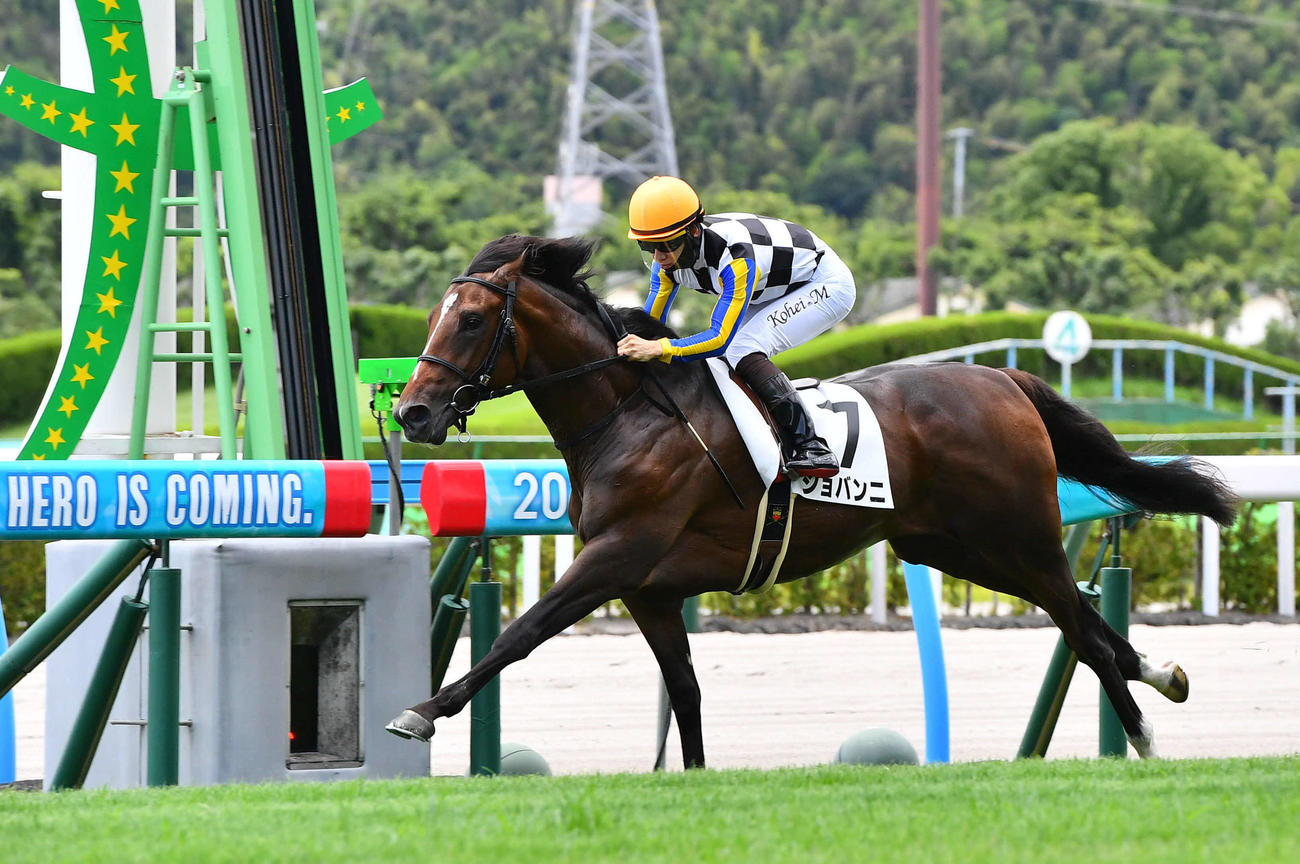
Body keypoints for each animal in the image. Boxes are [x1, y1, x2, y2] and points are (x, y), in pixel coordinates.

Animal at [387, 233, 1237, 766]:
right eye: (432, 317)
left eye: (470, 319)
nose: (412, 414)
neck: (628, 413)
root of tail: (1003, 378)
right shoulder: (649, 589)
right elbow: (686, 693)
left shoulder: (617, 555)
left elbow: (519, 634)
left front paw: (422, 711)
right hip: (954, 546)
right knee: (1087, 623)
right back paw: (1163, 674)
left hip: (1018, 536)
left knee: (1083, 631)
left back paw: (1145, 740)